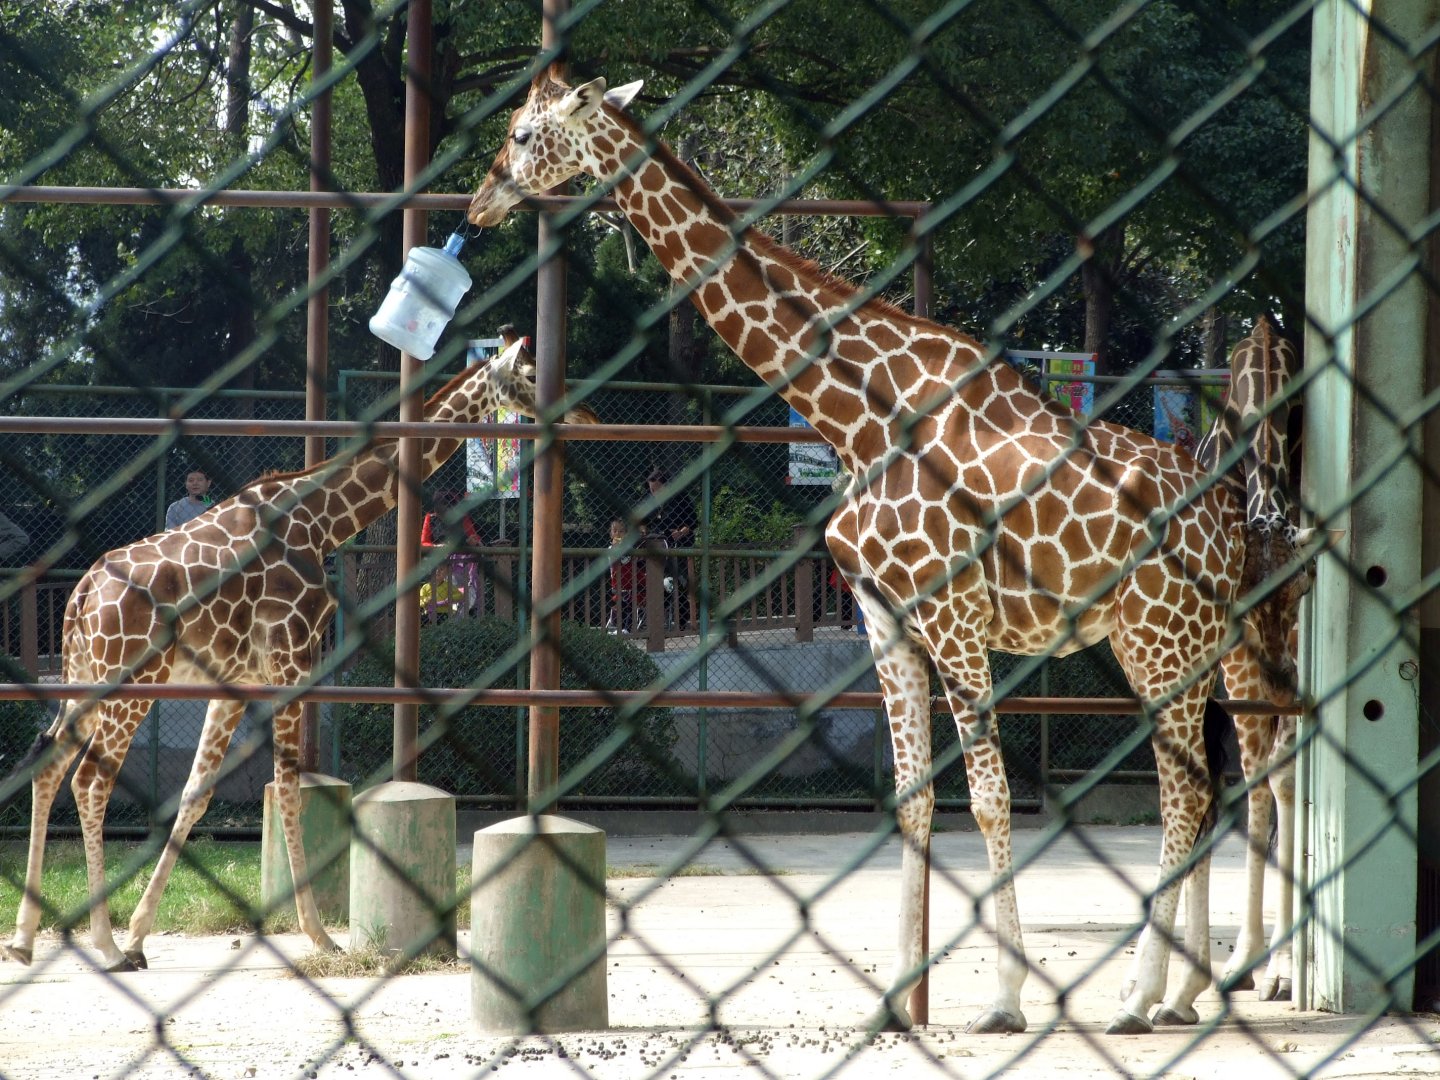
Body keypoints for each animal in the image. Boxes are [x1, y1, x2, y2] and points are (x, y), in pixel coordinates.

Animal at [2, 333, 596, 972]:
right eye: (532, 373)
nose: (585, 415)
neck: (321, 520)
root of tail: (82, 594)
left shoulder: (235, 679)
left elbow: (196, 794)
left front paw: (140, 933)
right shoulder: (293, 657)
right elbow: (288, 786)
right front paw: (319, 935)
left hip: (84, 677)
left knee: (49, 763)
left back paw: (27, 939)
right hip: (133, 680)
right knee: (91, 781)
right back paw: (105, 945)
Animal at [466, 65, 1315, 1034]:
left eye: (523, 134)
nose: (482, 198)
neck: (858, 419)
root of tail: (1229, 515)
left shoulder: (952, 618)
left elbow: (987, 799)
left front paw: (1004, 1000)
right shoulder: (885, 618)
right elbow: (911, 802)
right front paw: (894, 1005)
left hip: (1163, 639)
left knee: (1198, 792)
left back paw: (1148, 997)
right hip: (1194, 646)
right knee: (1220, 785)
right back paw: (1186, 988)